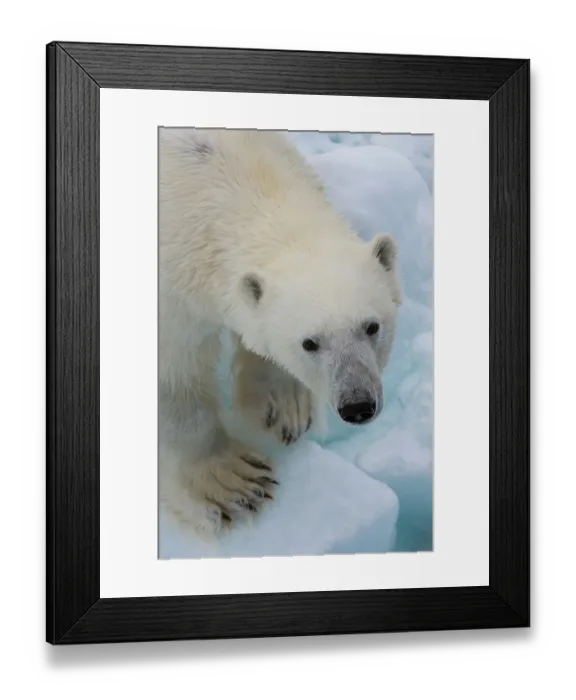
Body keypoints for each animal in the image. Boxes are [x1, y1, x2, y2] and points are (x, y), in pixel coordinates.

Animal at [158, 128, 402, 538]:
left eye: (372, 326)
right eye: (310, 343)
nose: (357, 405)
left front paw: (284, 406)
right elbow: (175, 379)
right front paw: (231, 485)